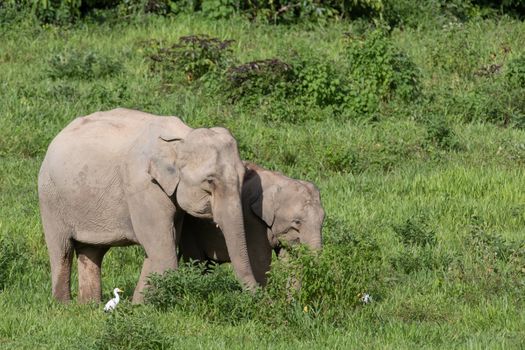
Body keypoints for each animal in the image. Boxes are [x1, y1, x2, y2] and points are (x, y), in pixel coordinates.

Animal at [37, 108, 256, 302]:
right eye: (210, 181)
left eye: (244, 175)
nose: (258, 298)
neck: (181, 138)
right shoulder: (143, 187)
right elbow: (162, 248)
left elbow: (164, 243)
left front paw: (139, 306)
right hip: (50, 197)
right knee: (62, 250)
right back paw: (63, 305)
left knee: (91, 251)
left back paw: (88, 306)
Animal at [179, 163, 324, 286]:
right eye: (297, 222)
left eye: (323, 221)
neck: (278, 182)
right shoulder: (251, 220)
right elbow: (260, 261)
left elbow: (288, 260)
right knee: (197, 261)